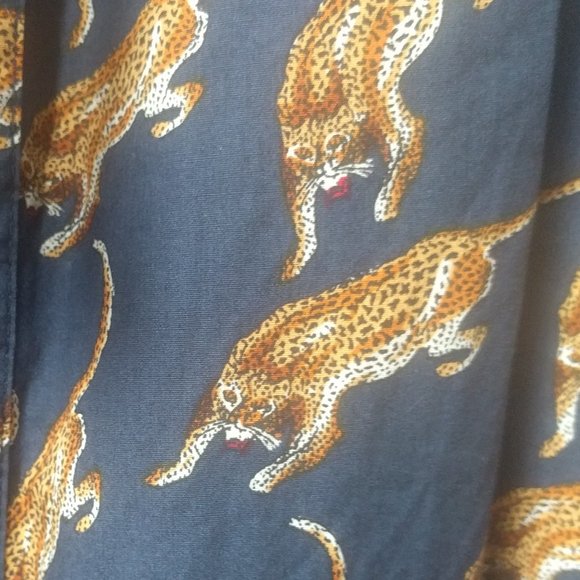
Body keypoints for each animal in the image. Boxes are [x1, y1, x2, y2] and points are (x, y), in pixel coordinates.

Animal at [22, 0, 208, 258]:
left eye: (40, 186)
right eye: (26, 186)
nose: (30, 211)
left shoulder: (89, 180)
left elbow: (81, 220)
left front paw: (55, 245)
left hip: (152, 94)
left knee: (193, 90)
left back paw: (163, 127)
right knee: (193, 88)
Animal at [146, 202, 535, 494]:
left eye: (263, 409)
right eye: (234, 399)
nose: (238, 427)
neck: (271, 359)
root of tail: (468, 235)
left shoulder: (322, 423)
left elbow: (297, 457)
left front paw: (266, 478)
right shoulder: (215, 401)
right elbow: (192, 446)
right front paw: (168, 473)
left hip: (440, 335)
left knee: (480, 332)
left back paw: (454, 367)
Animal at [277, 0, 497, 280]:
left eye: (336, 142)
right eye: (305, 153)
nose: (324, 169)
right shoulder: (295, 176)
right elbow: (302, 221)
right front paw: (297, 261)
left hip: (376, 85)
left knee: (410, 130)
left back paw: (387, 202)